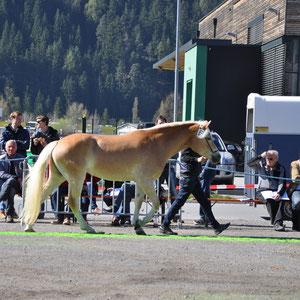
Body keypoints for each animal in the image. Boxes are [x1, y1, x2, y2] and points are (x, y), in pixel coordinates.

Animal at [20, 119, 220, 234]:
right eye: (209, 138)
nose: (217, 157)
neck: (156, 143)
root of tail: (59, 142)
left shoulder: (140, 182)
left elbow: (138, 203)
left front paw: (138, 226)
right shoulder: (147, 181)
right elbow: (156, 203)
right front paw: (142, 224)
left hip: (58, 176)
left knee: (41, 195)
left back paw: (28, 225)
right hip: (75, 178)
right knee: (72, 201)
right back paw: (88, 228)